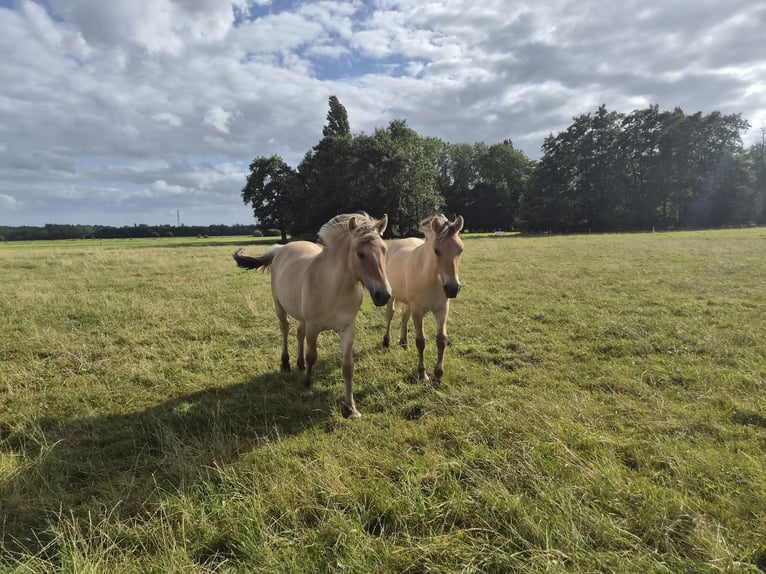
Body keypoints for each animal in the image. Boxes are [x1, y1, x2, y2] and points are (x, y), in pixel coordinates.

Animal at [233, 213, 391, 418]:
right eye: (360, 254)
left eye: (384, 251)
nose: (384, 295)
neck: (333, 287)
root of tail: (281, 249)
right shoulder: (314, 327)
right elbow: (312, 356)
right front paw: (307, 387)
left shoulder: (348, 328)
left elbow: (348, 366)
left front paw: (350, 408)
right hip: (280, 307)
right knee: (285, 329)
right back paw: (286, 363)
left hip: (301, 317)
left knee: (299, 333)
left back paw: (299, 364)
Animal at [382, 214, 464, 383]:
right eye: (436, 250)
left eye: (460, 250)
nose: (453, 288)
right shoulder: (418, 312)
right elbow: (421, 342)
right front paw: (422, 374)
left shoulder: (442, 310)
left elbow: (441, 340)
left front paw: (438, 374)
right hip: (392, 298)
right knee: (390, 315)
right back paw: (386, 342)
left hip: (408, 304)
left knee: (404, 317)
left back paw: (404, 343)